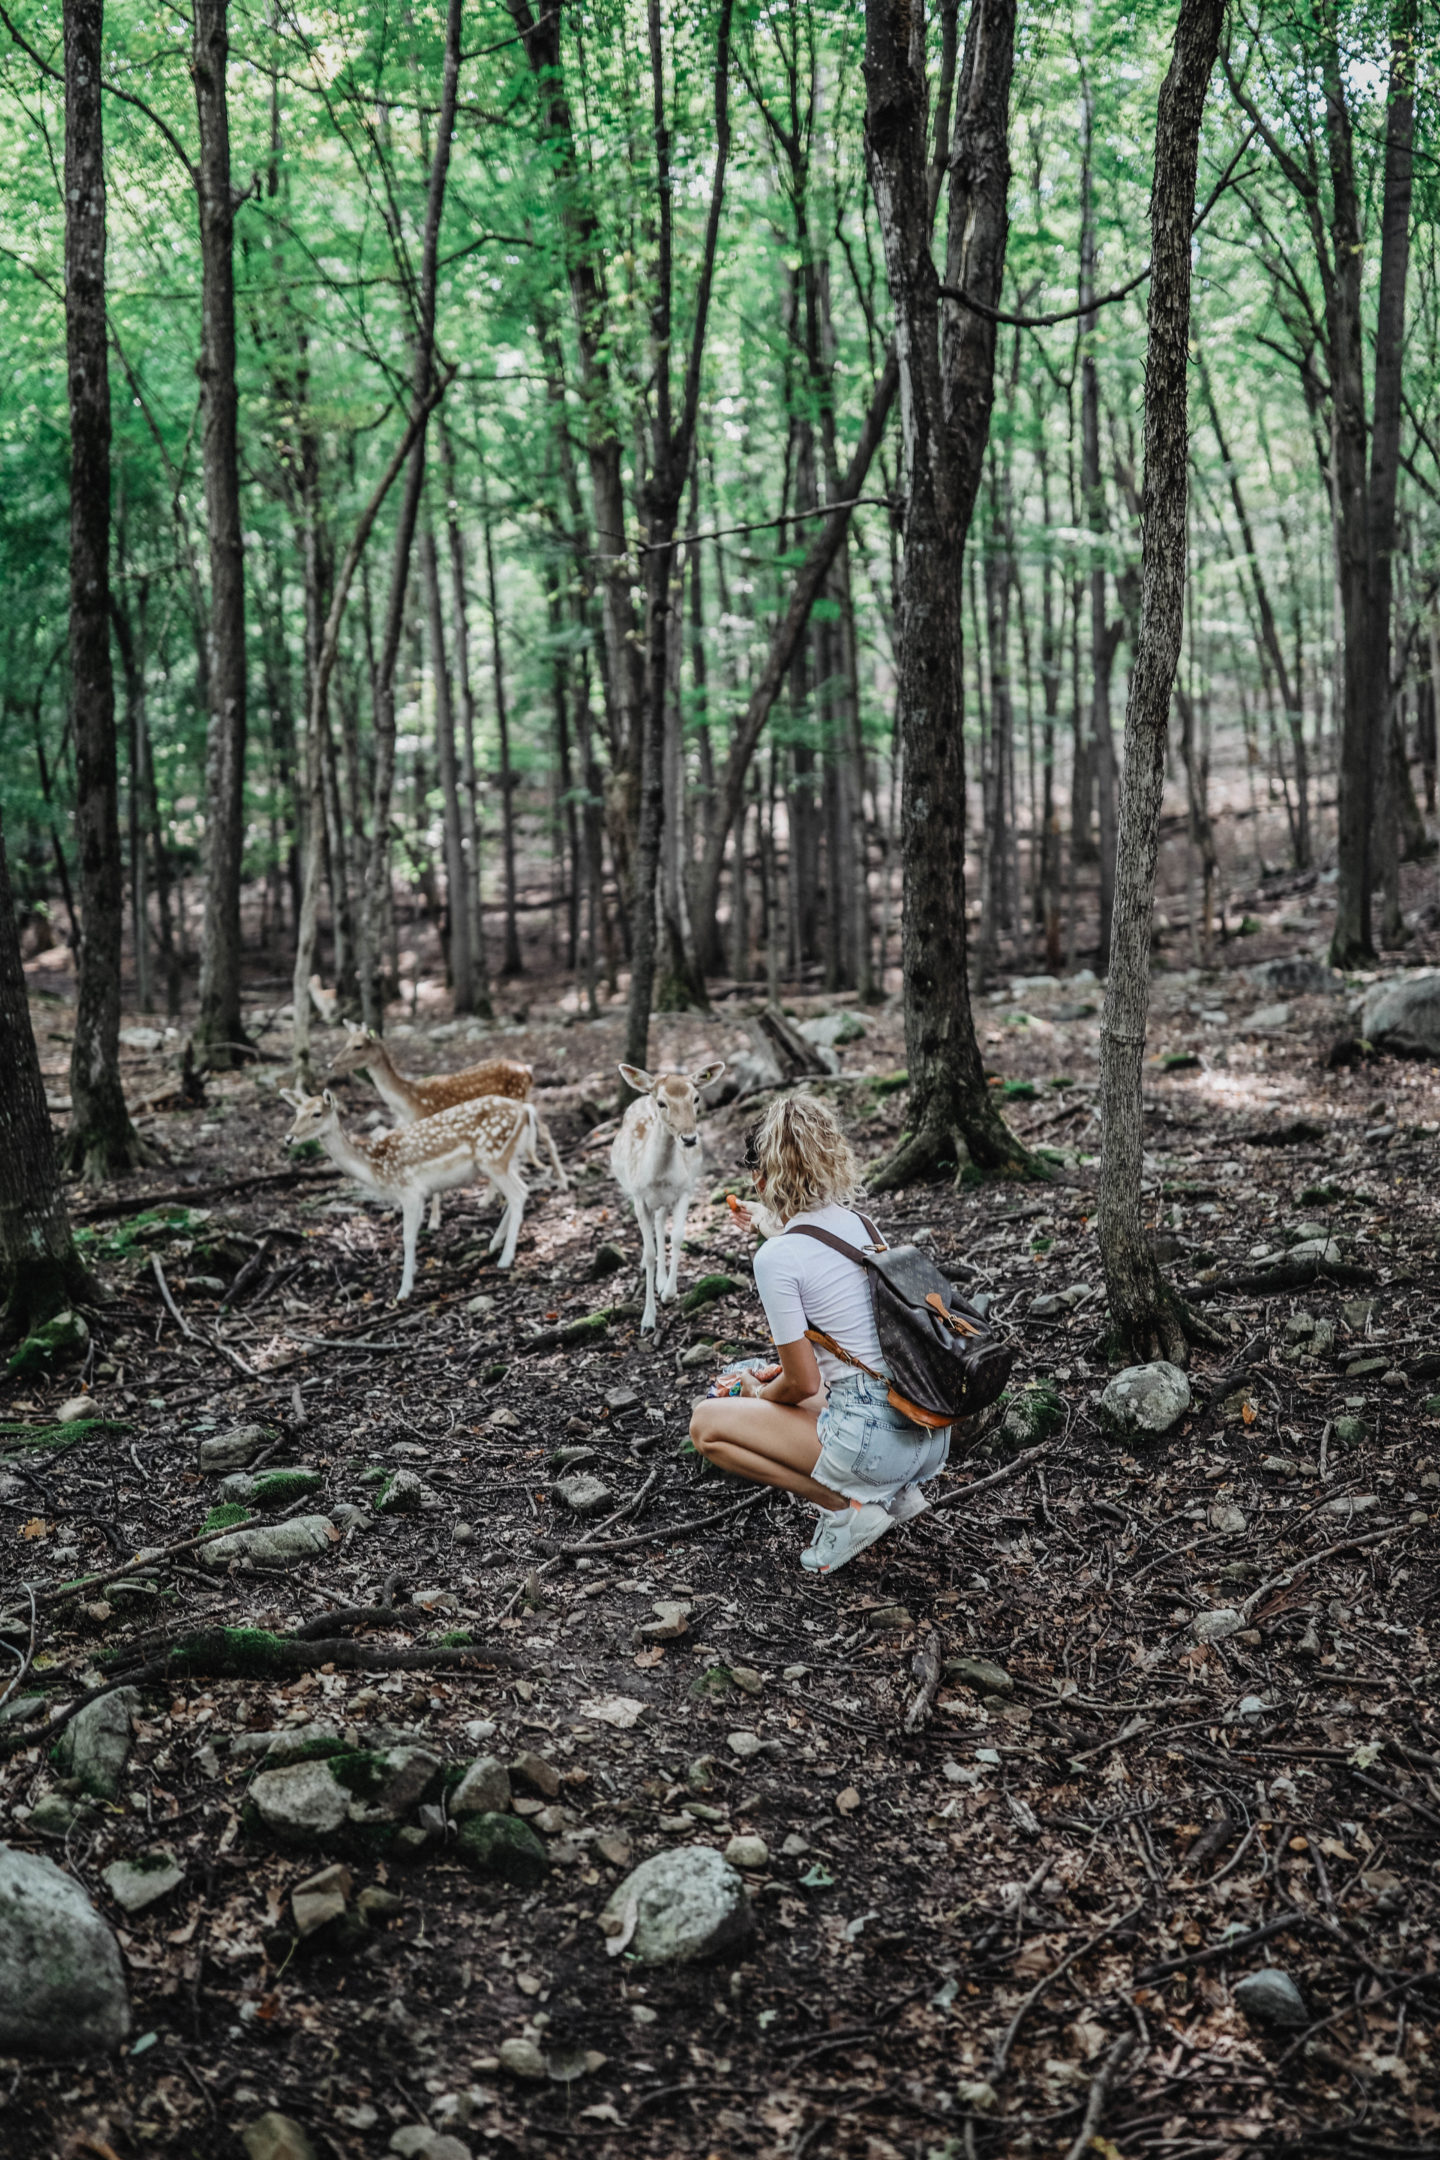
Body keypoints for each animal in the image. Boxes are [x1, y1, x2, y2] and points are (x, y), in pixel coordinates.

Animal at [282, 1088, 552, 1287]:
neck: (375, 1167)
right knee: (523, 1189)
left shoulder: (409, 1191)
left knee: (518, 1195)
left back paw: (505, 1258)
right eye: (296, 1111)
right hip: (507, 1157)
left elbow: (408, 1238)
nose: (288, 1137)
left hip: (493, 1157)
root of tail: (525, 1110)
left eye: (317, 1113)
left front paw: (404, 1289)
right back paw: (494, 1244)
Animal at [613, 1062, 725, 1330]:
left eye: (696, 1098)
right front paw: (647, 1320)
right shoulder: (639, 1198)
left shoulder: (685, 1189)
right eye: (662, 1103)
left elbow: (677, 1237)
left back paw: (662, 1282)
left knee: (660, 1222)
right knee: (654, 1230)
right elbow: (649, 1253)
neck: (658, 1176)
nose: (689, 1139)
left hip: (664, 1200)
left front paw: (669, 1293)